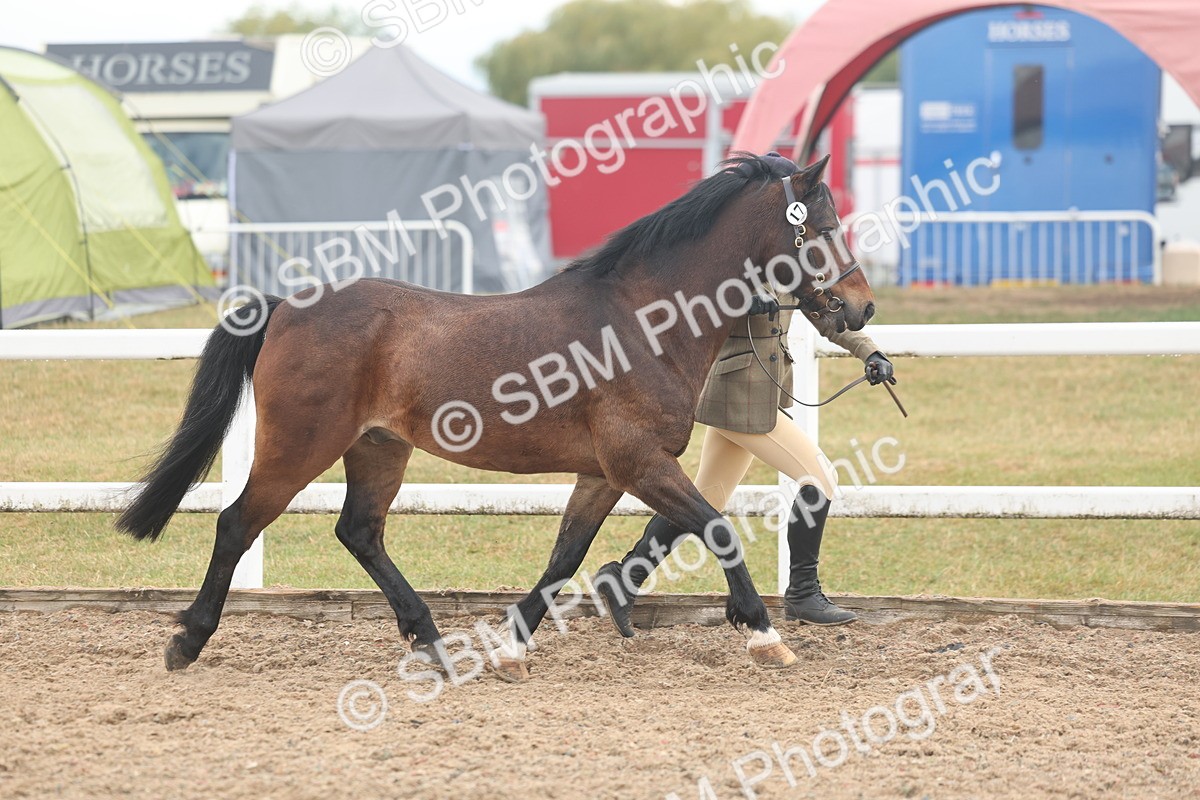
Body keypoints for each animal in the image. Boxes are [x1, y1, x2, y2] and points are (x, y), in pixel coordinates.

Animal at [117, 152, 875, 681]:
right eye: (825, 227)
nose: (860, 308)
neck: (642, 320)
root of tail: (284, 307)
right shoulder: (641, 463)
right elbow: (717, 530)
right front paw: (766, 637)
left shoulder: (605, 474)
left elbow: (564, 556)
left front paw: (512, 650)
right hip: (300, 446)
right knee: (237, 524)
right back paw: (188, 641)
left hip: (378, 448)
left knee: (359, 531)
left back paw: (433, 643)